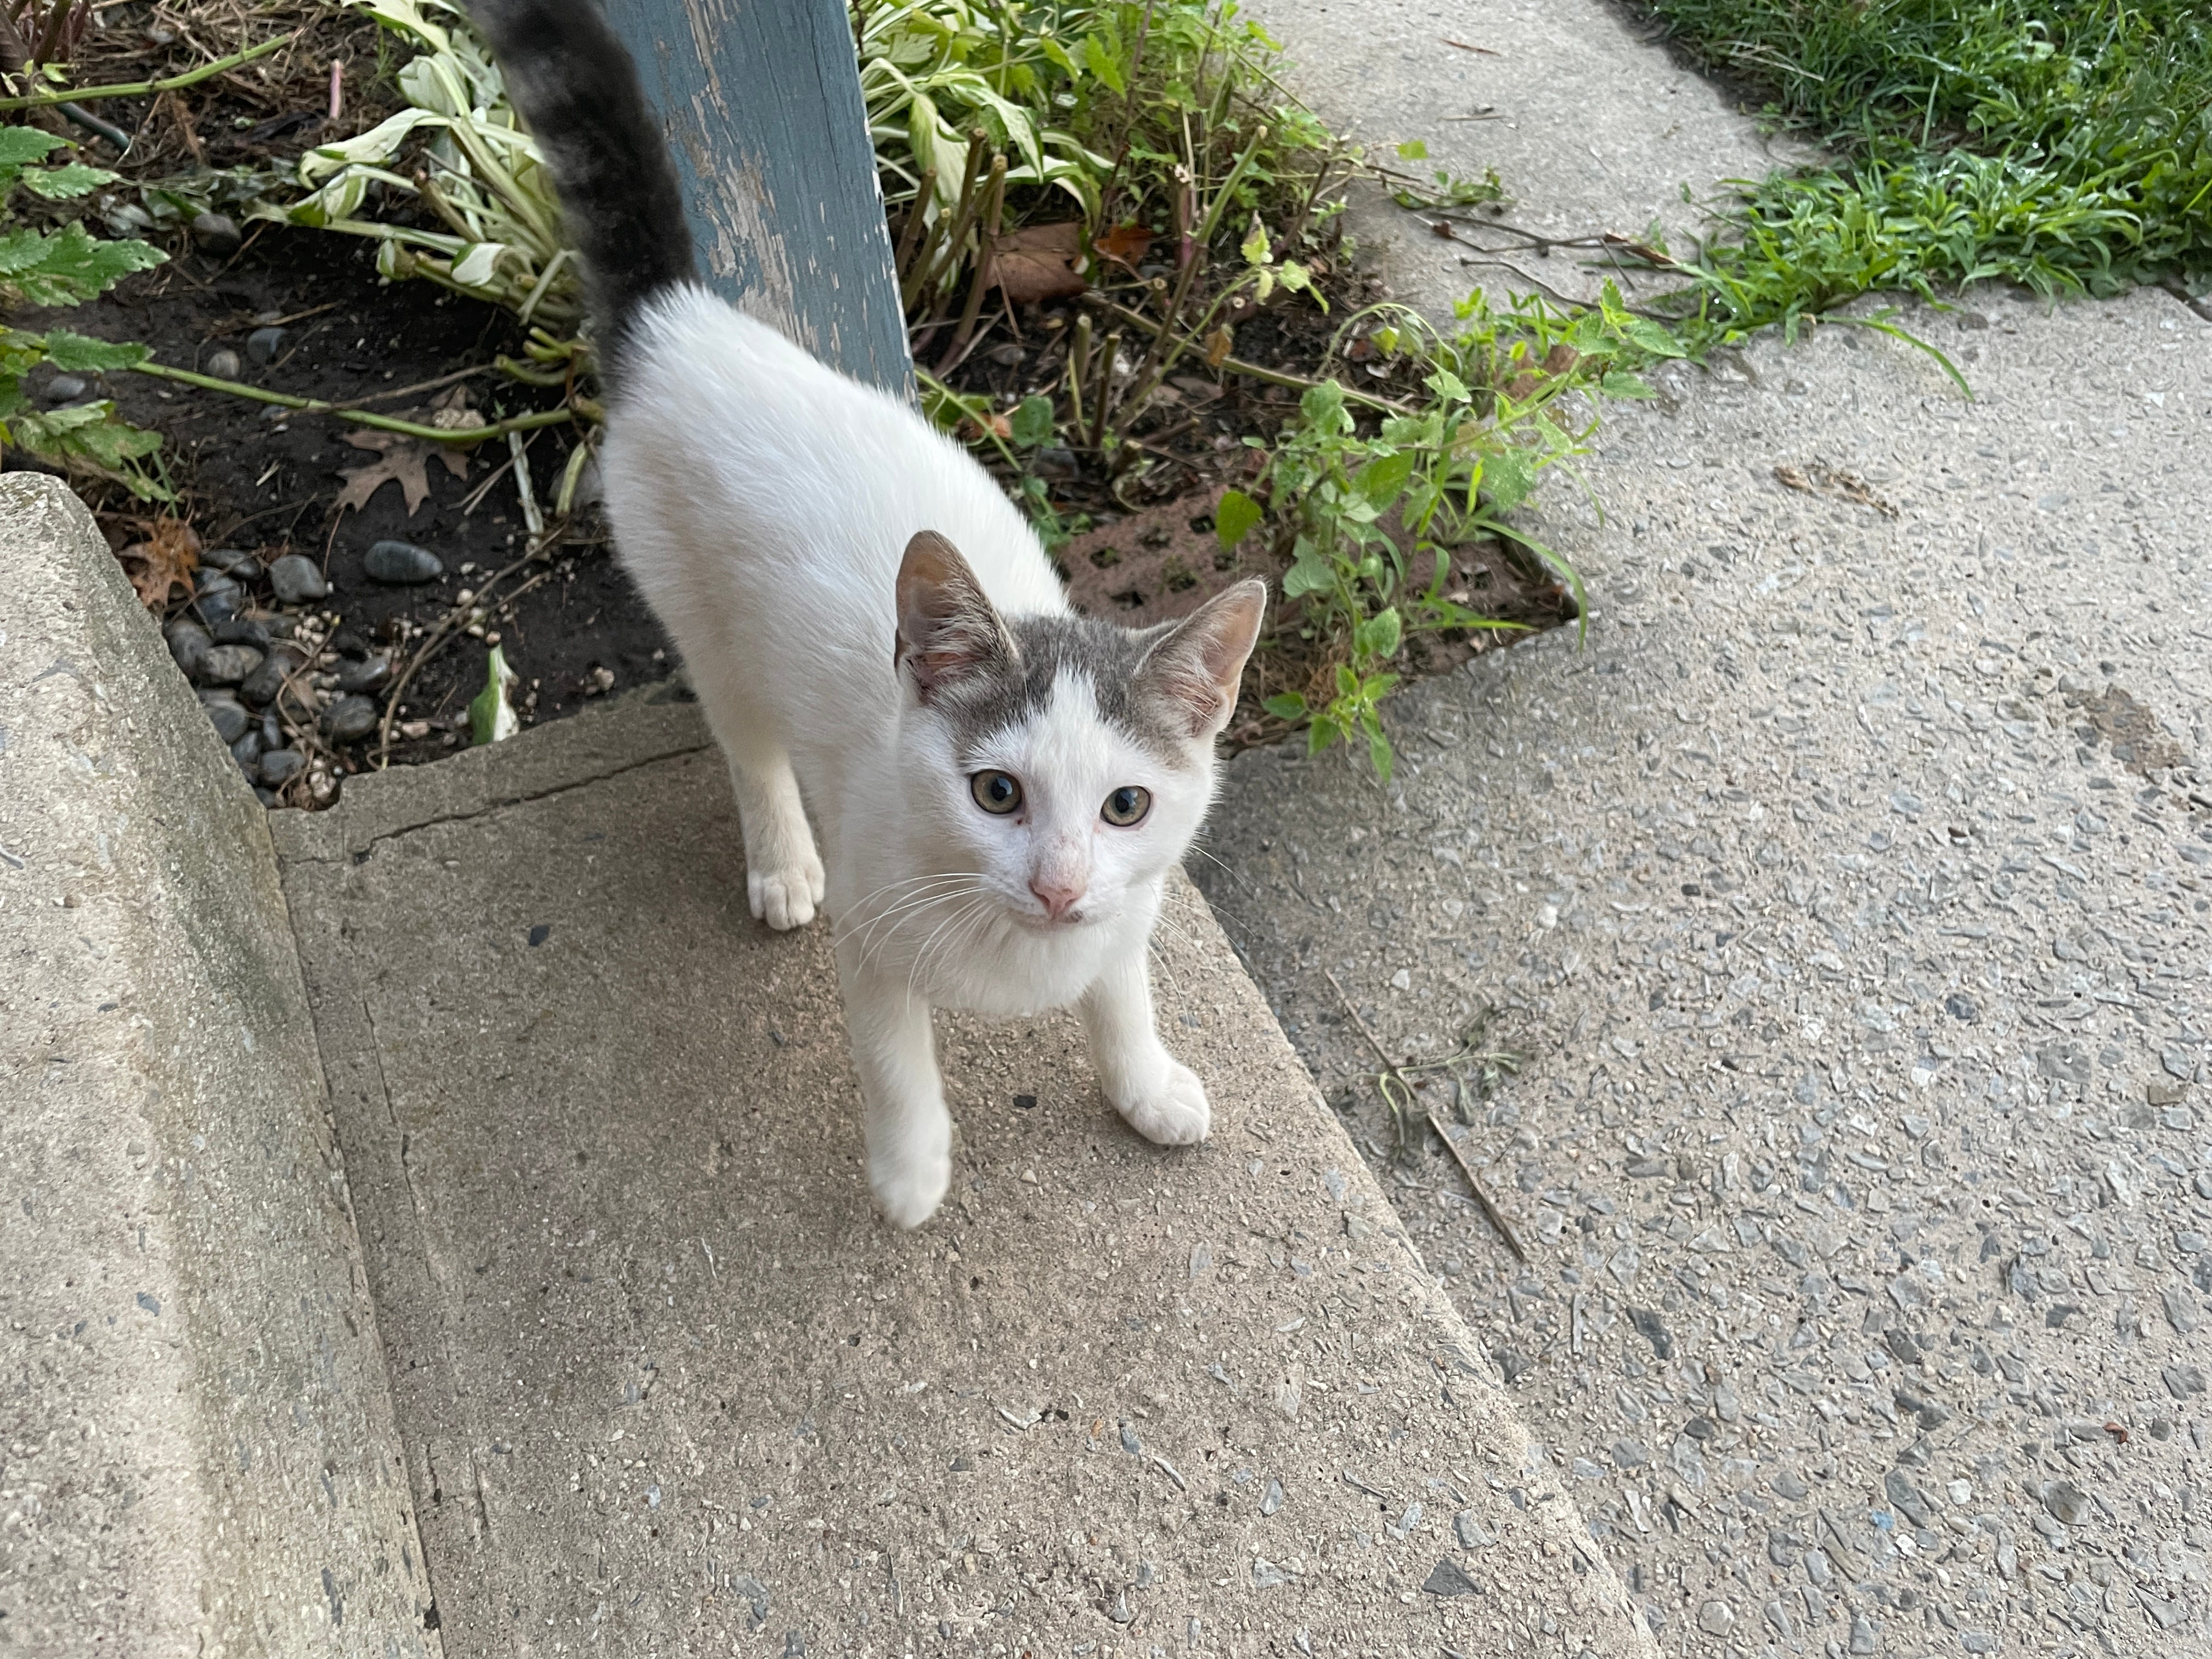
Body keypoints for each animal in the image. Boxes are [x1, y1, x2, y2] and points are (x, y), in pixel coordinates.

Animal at [474, 0, 1265, 1227]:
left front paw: (1145, 1083)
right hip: (702, 613)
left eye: (1127, 805)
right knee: (748, 743)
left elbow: (1121, 992)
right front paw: (910, 1167)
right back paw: (781, 859)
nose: (1058, 885)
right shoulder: (875, 929)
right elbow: (894, 1058)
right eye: (996, 793)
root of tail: (688, 324)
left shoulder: (1128, 908)